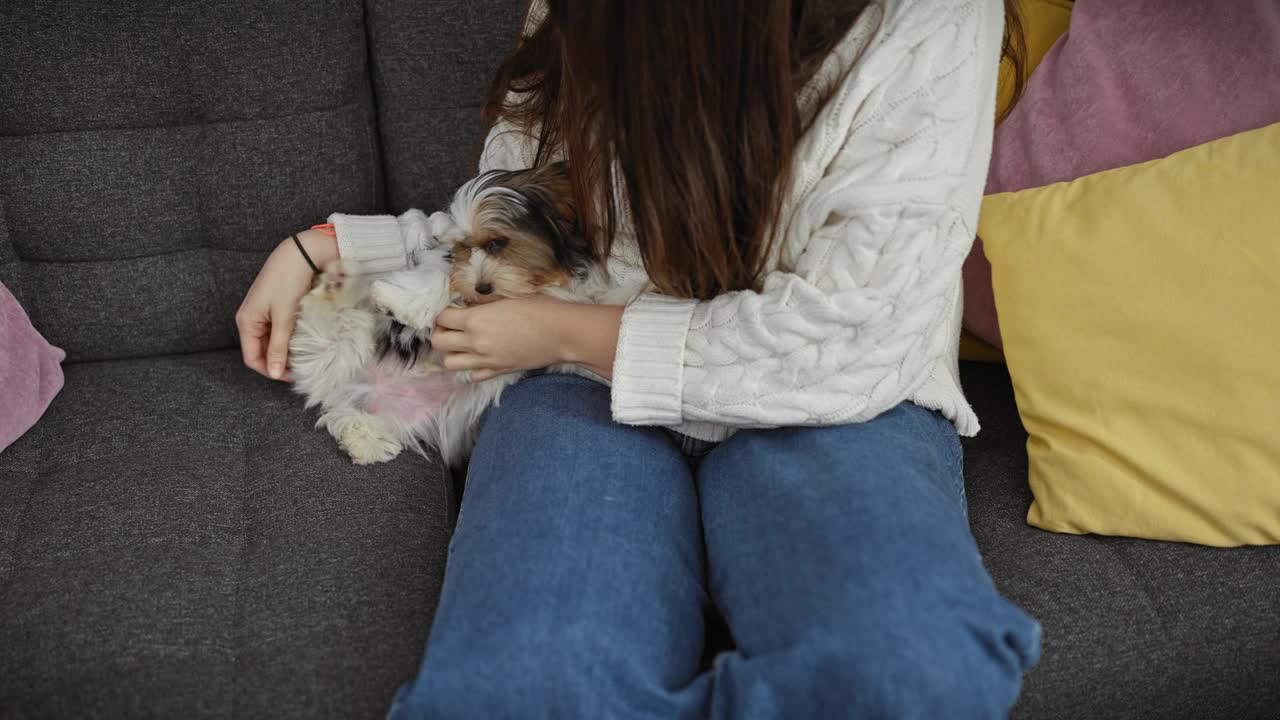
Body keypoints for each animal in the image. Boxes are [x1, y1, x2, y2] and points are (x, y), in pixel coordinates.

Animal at [285, 162, 634, 466]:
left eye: (498, 243)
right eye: (464, 248)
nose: (482, 288)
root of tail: (353, 388)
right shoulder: (446, 266)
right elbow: (442, 277)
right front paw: (404, 301)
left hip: (404, 412)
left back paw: (363, 437)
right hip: (346, 347)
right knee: (325, 335)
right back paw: (337, 287)